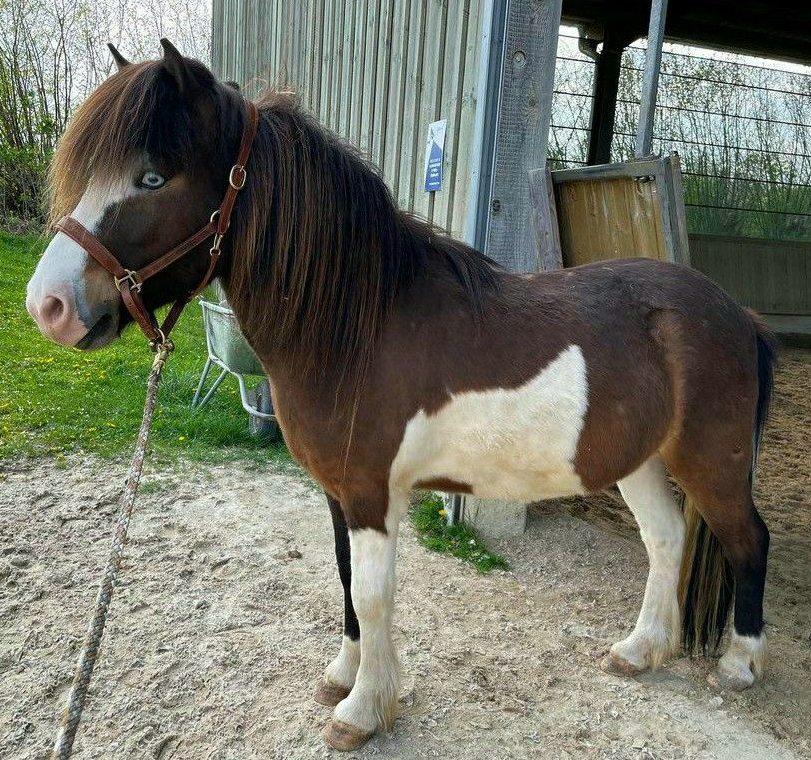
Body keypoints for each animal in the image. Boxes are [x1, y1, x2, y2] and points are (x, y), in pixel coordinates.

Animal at [26, 40, 777, 751]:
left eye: (152, 177)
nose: (49, 306)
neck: (359, 323)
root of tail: (738, 316)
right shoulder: (338, 492)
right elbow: (344, 581)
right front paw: (344, 675)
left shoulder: (368, 492)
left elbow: (373, 594)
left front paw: (363, 710)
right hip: (639, 460)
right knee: (665, 538)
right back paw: (640, 651)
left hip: (710, 461)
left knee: (747, 538)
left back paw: (740, 665)